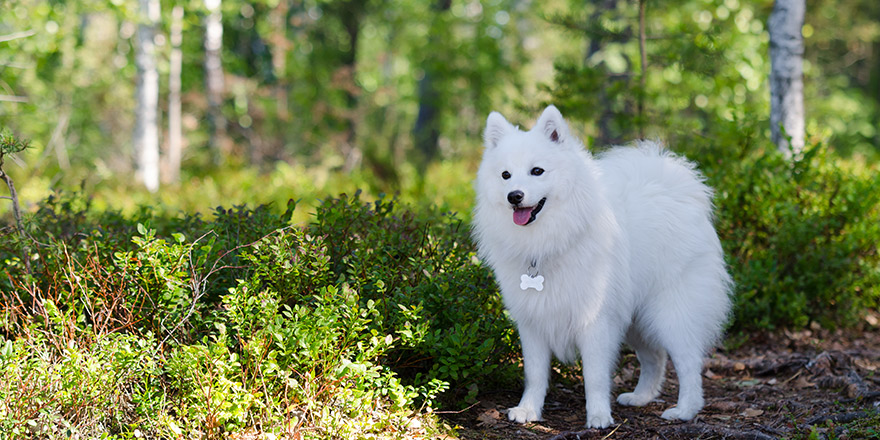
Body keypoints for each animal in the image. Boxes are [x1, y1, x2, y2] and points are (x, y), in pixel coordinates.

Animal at [470, 105, 732, 428]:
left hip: (670, 313)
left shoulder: (594, 320)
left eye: (537, 171)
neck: (547, 242)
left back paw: (684, 410)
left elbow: (594, 376)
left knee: (688, 363)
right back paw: (640, 397)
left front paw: (598, 416)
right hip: (636, 319)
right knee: (655, 359)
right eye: (505, 175)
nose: (514, 196)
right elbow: (534, 374)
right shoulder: (533, 321)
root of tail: (677, 191)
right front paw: (528, 409)